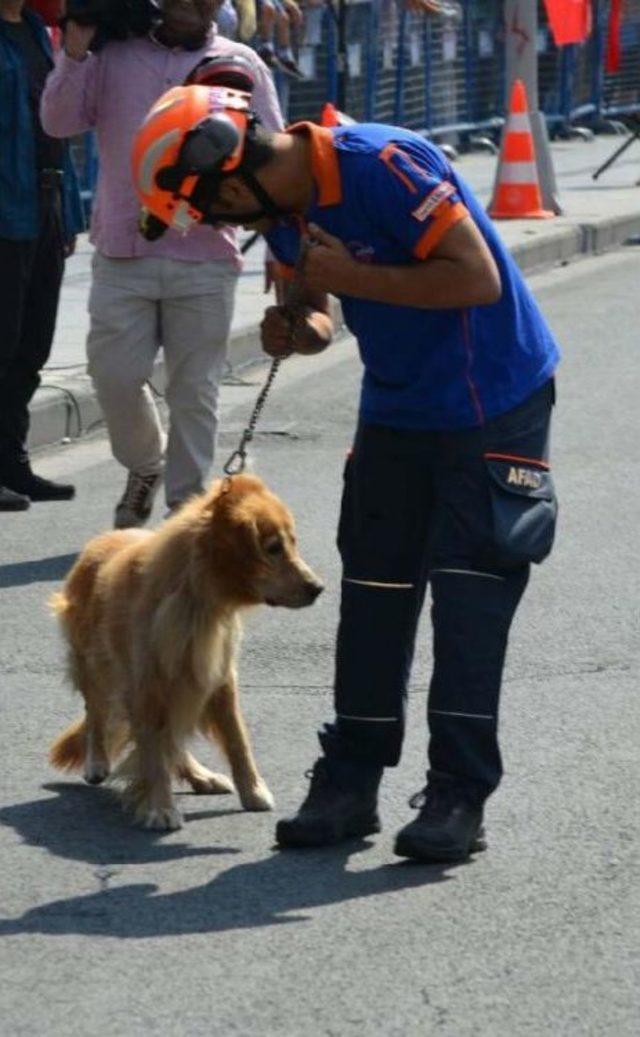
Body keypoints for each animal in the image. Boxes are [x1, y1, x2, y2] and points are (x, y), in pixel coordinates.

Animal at [48, 474, 323, 829]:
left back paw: (201, 776)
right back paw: (97, 760)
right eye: (273, 548)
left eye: (292, 542)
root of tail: (101, 539)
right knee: (96, 712)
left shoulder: (217, 678)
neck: (196, 597)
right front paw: (161, 808)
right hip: (94, 664)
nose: (318, 588)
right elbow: (153, 754)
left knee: (171, 740)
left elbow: (237, 741)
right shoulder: (146, 686)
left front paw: (253, 791)